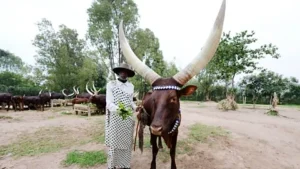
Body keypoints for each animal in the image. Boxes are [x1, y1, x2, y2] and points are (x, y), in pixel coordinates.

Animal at [118, 0, 226, 168]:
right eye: (153, 100)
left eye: (173, 99)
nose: (156, 127)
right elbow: (154, 151)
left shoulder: (175, 132)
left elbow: (173, 152)